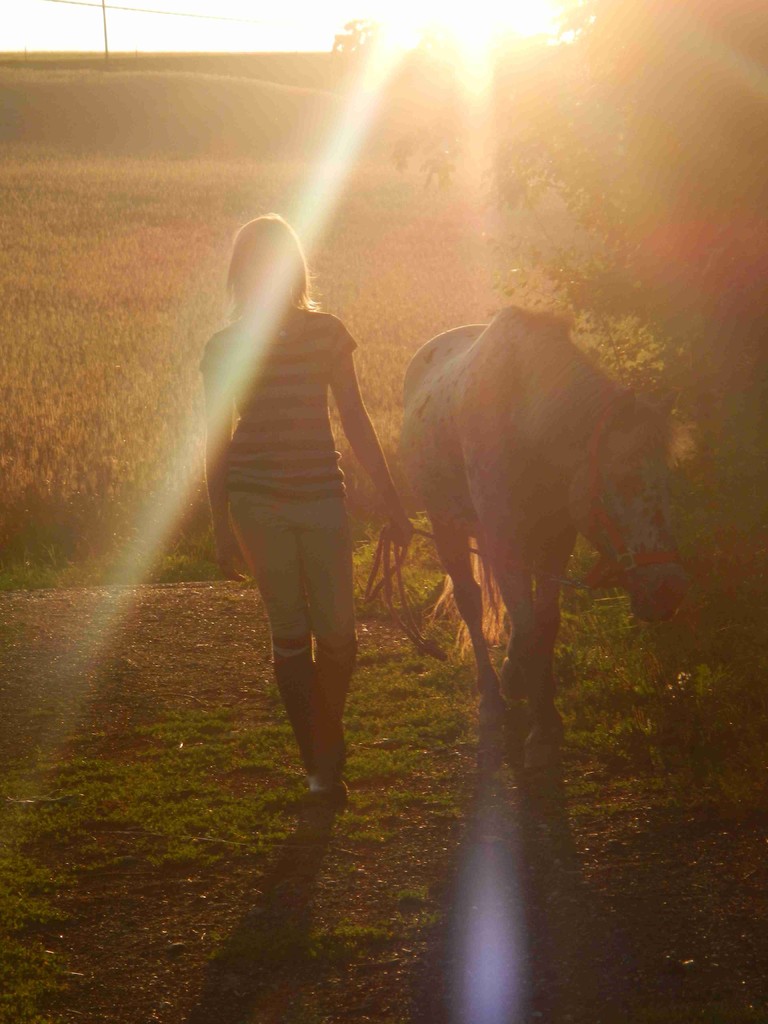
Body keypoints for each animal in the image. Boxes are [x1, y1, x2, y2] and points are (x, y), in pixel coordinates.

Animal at [403, 305, 692, 770]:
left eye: (667, 480)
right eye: (625, 481)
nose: (669, 589)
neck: (524, 417)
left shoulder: (556, 539)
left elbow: (544, 622)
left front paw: (544, 717)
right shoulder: (505, 539)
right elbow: (523, 624)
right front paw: (521, 692)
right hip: (446, 523)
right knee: (469, 601)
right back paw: (492, 696)